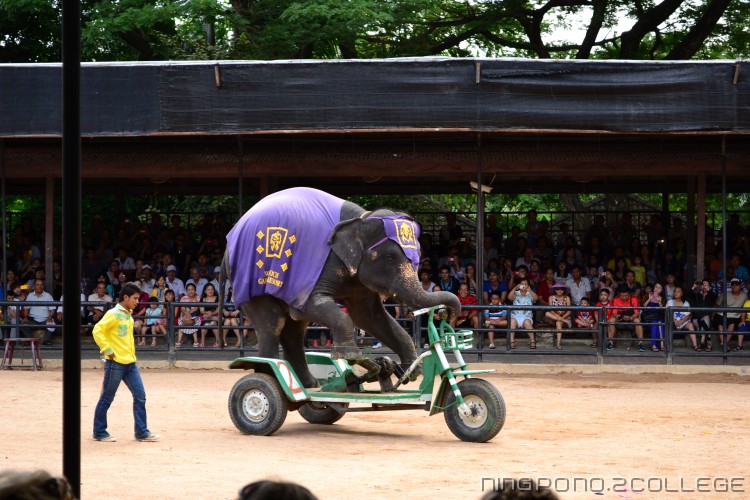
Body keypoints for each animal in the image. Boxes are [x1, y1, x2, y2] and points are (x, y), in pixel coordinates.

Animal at [220, 187, 461, 389]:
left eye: (417, 257)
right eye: (390, 257)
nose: (451, 313)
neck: (361, 219)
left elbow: (369, 316)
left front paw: (411, 369)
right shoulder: (322, 264)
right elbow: (313, 304)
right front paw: (349, 354)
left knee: (294, 331)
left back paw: (309, 385)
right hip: (250, 281)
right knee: (273, 325)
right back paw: (272, 376)